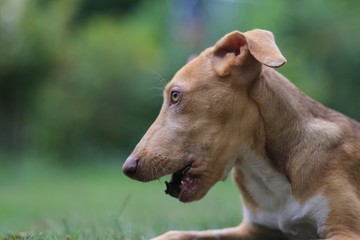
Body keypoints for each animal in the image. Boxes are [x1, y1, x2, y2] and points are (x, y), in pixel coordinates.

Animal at [121, 29, 360, 239]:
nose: (127, 167)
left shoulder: (343, 230)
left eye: (175, 96)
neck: (267, 172)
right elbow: (178, 233)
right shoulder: (255, 229)